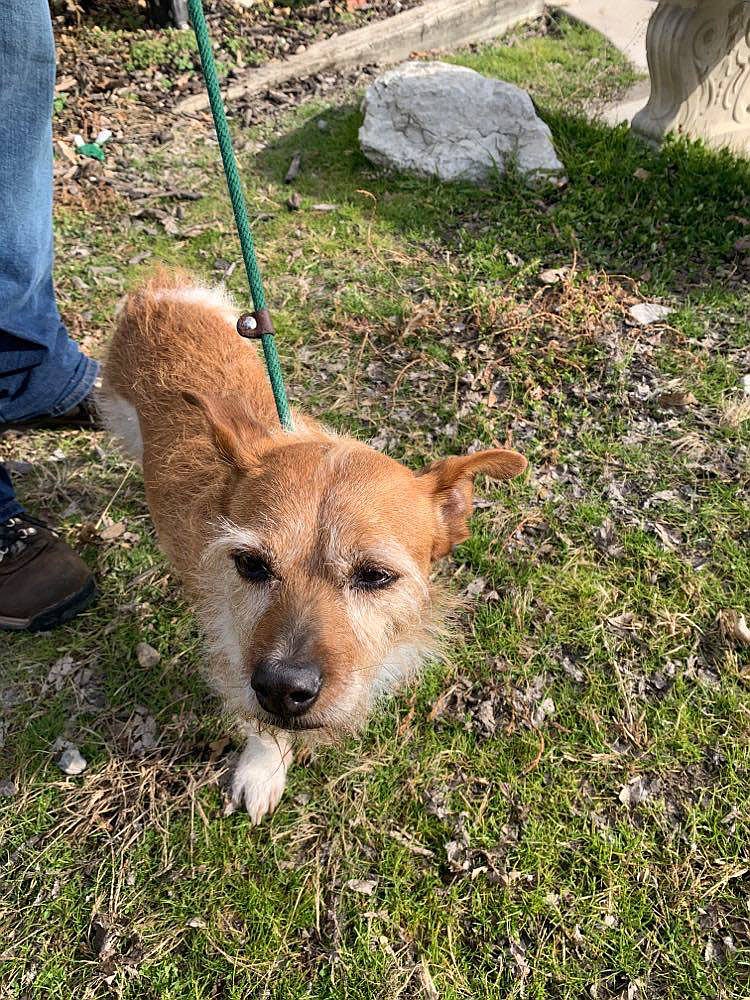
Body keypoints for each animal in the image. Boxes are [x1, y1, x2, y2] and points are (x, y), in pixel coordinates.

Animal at [103, 272, 528, 820]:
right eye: (250, 564)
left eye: (374, 575)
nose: (283, 690)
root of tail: (159, 290)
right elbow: (260, 725)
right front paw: (262, 768)